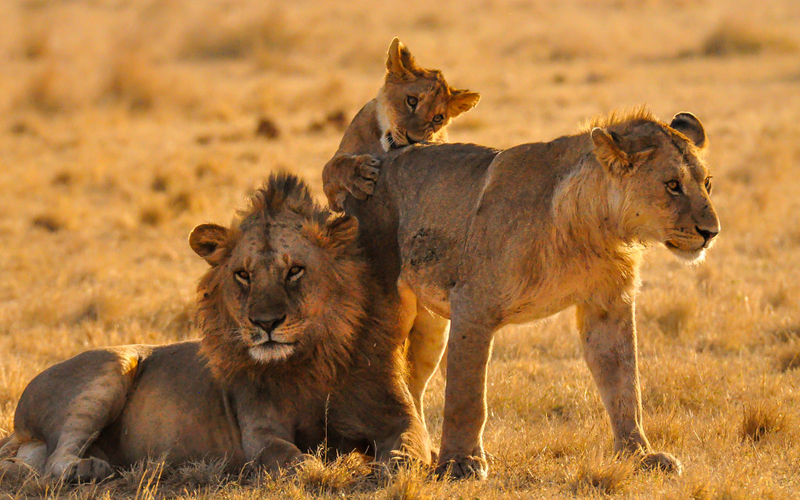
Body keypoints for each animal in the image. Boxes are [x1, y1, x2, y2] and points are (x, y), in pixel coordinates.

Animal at [0, 173, 428, 480]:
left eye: (294, 270)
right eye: (243, 275)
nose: (265, 323)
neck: (312, 362)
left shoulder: (398, 416)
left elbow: (411, 447)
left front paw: (403, 466)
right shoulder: (259, 432)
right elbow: (289, 457)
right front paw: (316, 467)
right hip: (109, 368)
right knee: (55, 460)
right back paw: (86, 469)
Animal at [320, 37, 482, 211]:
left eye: (438, 118)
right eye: (412, 101)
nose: (413, 140)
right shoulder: (333, 193)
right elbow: (335, 167)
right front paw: (360, 174)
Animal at [338, 110, 720, 480]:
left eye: (707, 183)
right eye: (672, 185)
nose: (711, 232)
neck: (597, 229)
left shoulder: (608, 306)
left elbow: (625, 384)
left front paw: (639, 454)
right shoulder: (472, 305)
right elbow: (467, 395)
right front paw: (459, 463)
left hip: (430, 324)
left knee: (412, 381)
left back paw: (423, 450)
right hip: (388, 304)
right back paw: (400, 455)